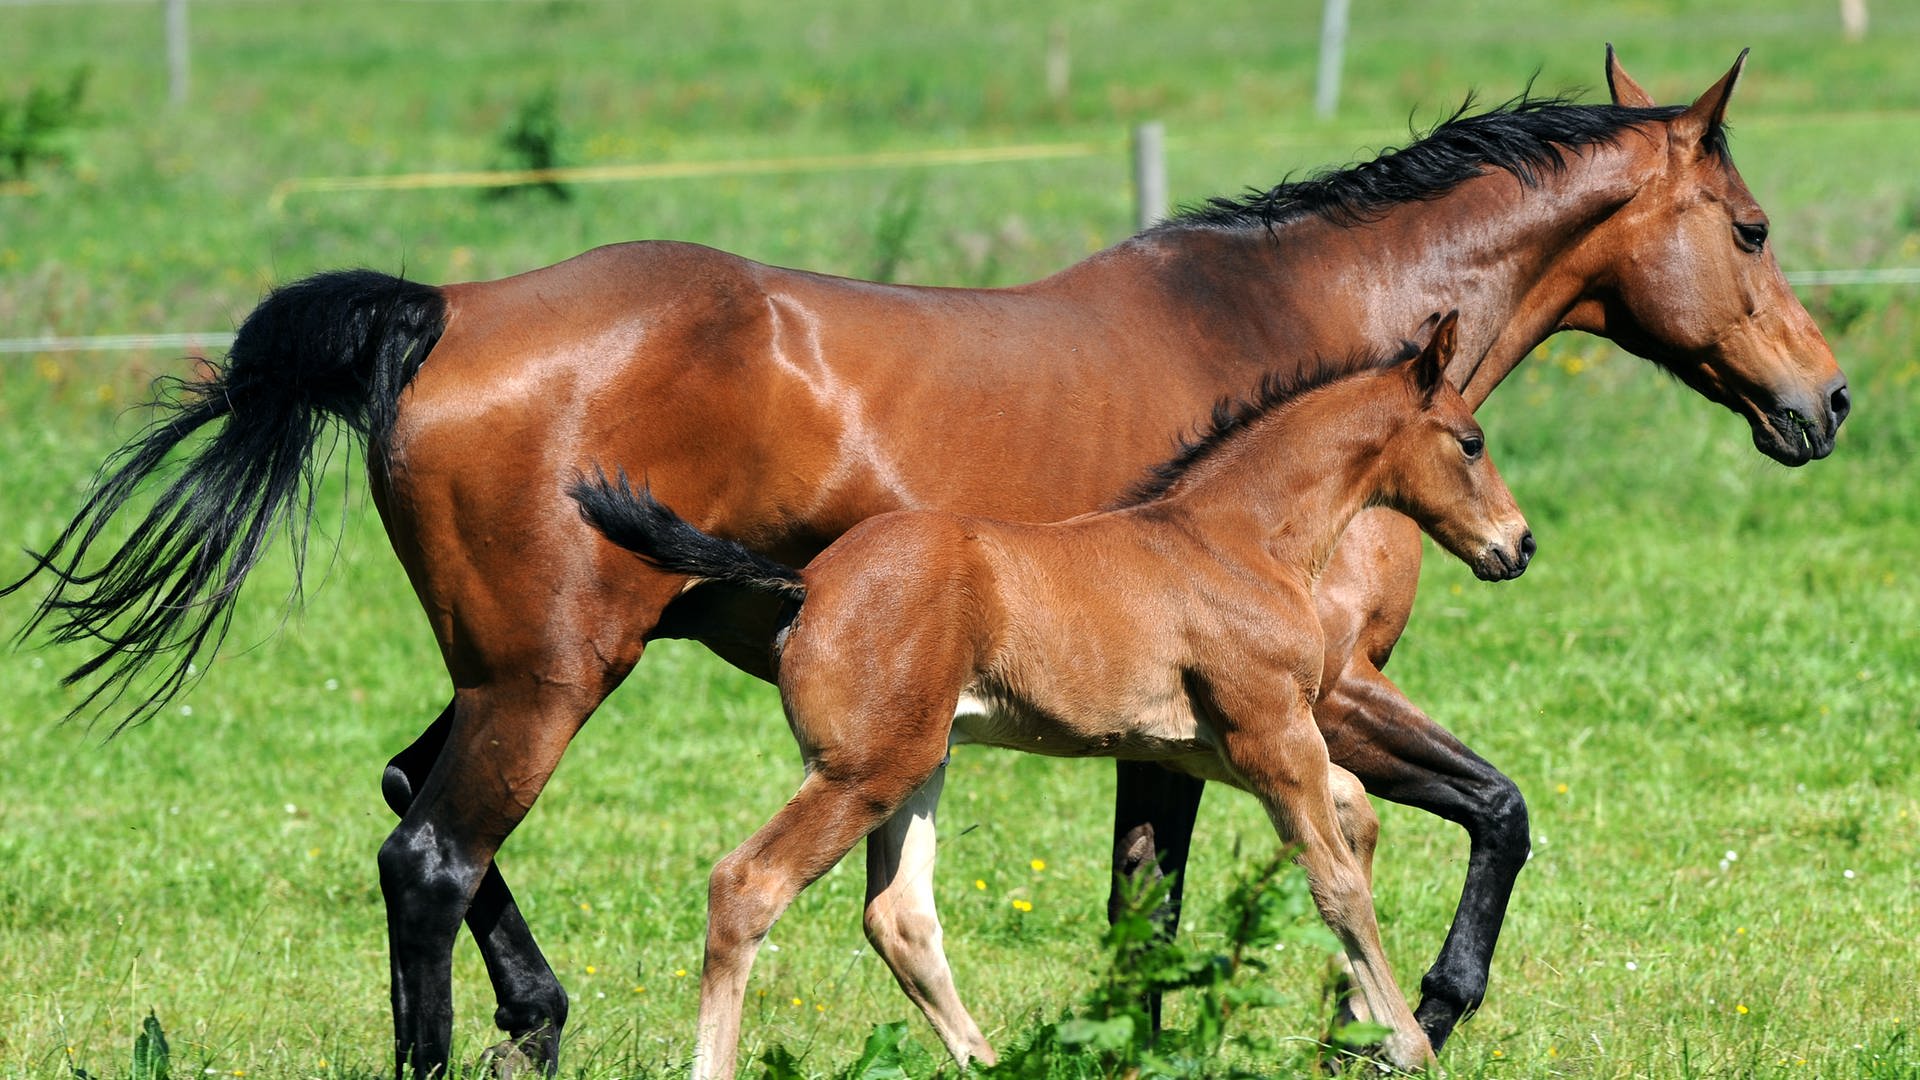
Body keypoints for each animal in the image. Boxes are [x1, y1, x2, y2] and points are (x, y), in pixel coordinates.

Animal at [576, 313, 1536, 1076]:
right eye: (1472, 441)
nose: (1518, 545)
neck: (1237, 539)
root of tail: (808, 582)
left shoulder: (1215, 746)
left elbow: (1354, 814)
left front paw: (1356, 1024)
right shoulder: (1269, 733)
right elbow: (1334, 879)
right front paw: (1405, 1041)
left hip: (919, 762)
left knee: (900, 918)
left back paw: (991, 1062)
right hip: (863, 772)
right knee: (748, 885)